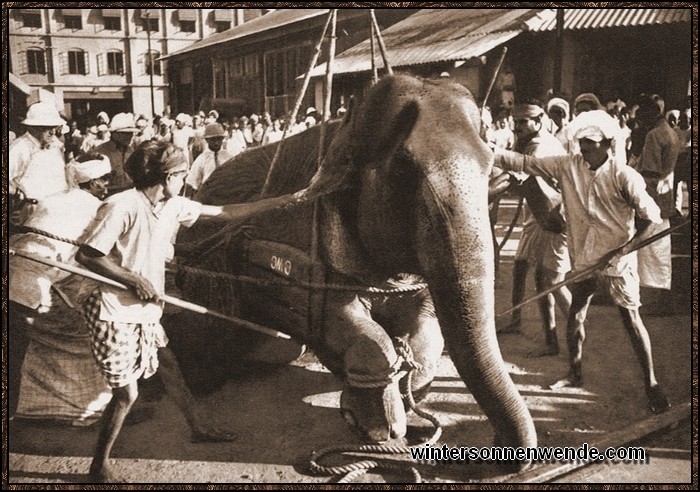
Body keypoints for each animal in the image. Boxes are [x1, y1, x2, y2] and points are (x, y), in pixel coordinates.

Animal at [175, 74, 536, 466]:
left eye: (490, 164)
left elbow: (427, 329)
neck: (344, 130)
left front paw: (406, 405)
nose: (500, 448)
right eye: (403, 172)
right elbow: (348, 326)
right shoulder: (296, 250)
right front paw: (379, 430)